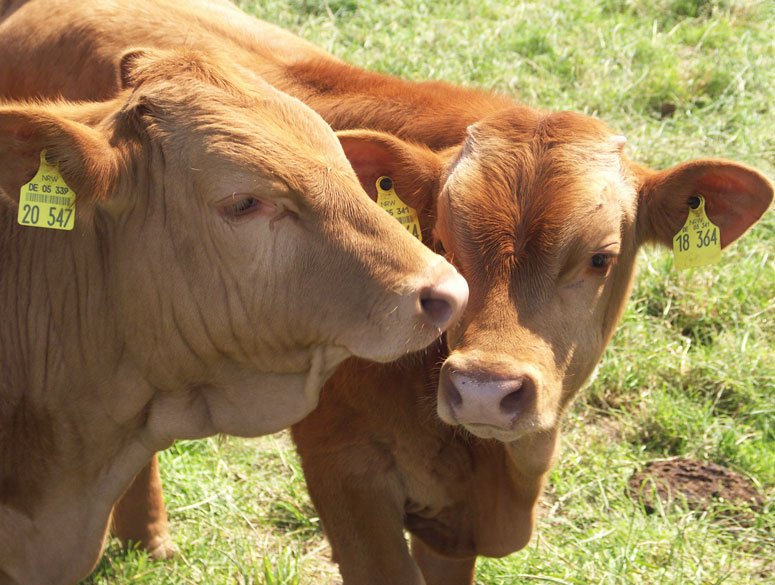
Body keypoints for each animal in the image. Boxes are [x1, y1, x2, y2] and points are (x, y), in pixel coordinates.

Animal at [1, 1, 768, 584]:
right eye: (446, 238)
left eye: (602, 257)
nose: (485, 389)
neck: (494, 473)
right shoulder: (345, 471)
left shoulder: (450, 526)